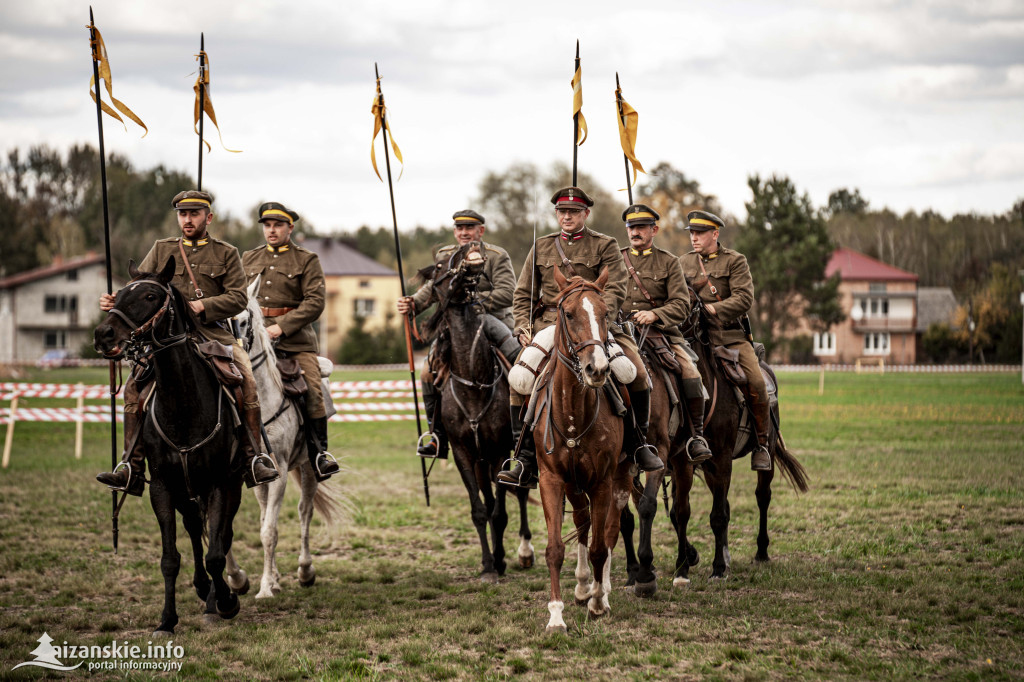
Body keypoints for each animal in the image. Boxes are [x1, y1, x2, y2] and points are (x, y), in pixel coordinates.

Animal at [94, 258, 249, 634]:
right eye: (119, 293)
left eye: (151, 296)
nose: (104, 335)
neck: (184, 406)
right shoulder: (163, 486)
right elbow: (169, 558)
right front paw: (167, 619)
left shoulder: (220, 483)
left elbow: (216, 553)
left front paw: (225, 602)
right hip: (186, 490)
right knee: (194, 528)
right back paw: (203, 588)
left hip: (230, 485)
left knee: (222, 535)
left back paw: (217, 596)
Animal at [224, 278, 339, 598]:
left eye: (245, 318)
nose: (231, 354)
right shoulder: (254, 473)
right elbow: (260, 525)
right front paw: (263, 580)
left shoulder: (283, 471)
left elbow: (270, 531)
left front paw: (265, 588)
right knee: (268, 513)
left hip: (309, 467)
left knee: (305, 512)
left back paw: (305, 570)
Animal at [417, 241, 536, 581]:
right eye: (440, 265)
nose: (469, 251)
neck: (474, 381)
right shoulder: (464, 454)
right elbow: (480, 510)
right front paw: (488, 564)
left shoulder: (499, 453)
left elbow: (500, 512)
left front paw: (500, 560)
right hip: (480, 463)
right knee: (489, 496)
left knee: (520, 494)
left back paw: (524, 552)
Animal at [528, 266, 630, 630]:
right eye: (569, 314)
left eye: (605, 313)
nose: (597, 369)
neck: (573, 410)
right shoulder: (552, 480)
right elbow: (555, 548)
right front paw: (556, 615)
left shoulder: (602, 481)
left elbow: (601, 546)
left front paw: (598, 603)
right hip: (574, 485)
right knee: (584, 522)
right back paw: (584, 585)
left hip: (621, 477)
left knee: (609, 531)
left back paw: (602, 591)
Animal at [671, 288, 806, 581]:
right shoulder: (684, 461)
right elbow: (681, 511)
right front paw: (684, 564)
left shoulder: (722, 457)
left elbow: (718, 515)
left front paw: (718, 568)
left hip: (766, 453)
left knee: (762, 496)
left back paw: (761, 552)